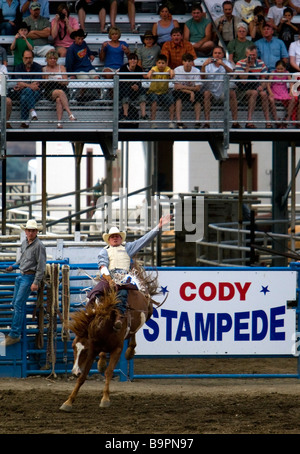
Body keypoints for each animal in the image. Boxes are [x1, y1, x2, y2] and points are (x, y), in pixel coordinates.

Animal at [60, 268, 163, 410]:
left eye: (85, 350)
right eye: (73, 347)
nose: (75, 371)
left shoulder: (117, 349)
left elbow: (109, 372)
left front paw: (105, 399)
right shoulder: (93, 350)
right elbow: (83, 376)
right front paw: (68, 402)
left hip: (149, 313)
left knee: (134, 333)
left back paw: (129, 352)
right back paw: (102, 362)